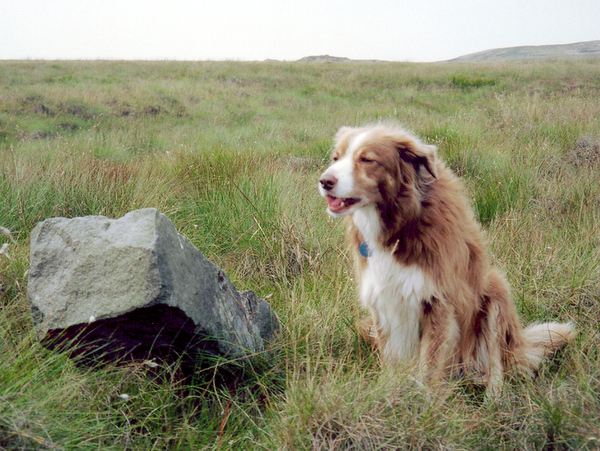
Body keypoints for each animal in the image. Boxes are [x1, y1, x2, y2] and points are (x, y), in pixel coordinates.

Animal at [318, 123, 576, 396]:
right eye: (336, 158)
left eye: (367, 160)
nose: (324, 182)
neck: (401, 224)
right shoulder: (381, 300)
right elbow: (390, 358)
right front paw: (390, 393)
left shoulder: (438, 301)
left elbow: (430, 367)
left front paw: (424, 402)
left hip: (495, 289)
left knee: (496, 365)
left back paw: (493, 397)